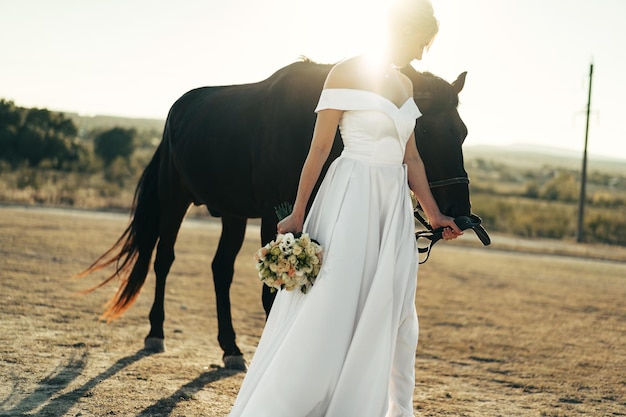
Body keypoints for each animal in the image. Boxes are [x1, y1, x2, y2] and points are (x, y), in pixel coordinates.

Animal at [81, 58, 472, 368]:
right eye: (423, 129)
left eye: (464, 132)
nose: (460, 214)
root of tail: (177, 110)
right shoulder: (276, 216)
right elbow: (272, 293)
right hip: (174, 199)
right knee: (164, 259)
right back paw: (157, 331)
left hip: (232, 213)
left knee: (220, 269)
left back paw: (230, 347)